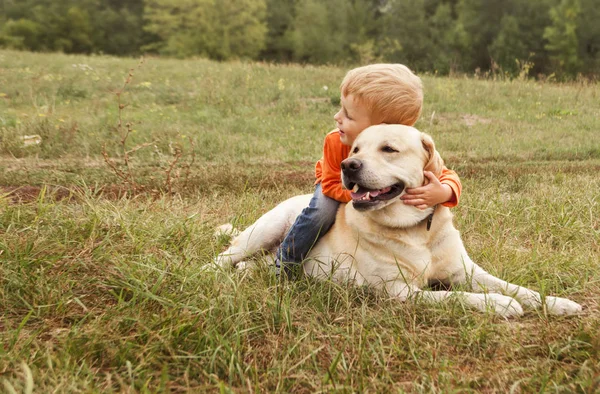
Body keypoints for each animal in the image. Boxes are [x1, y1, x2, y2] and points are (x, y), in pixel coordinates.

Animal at [214, 125, 580, 318]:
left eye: (389, 149)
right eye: (356, 148)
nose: (348, 165)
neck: (418, 232)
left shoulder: (467, 272)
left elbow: (516, 287)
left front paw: (556, 302)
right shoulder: (400, 291)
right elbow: (458, 297)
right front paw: (501, 304)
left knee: (255, 265)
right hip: (267, 228)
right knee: (224, 258)